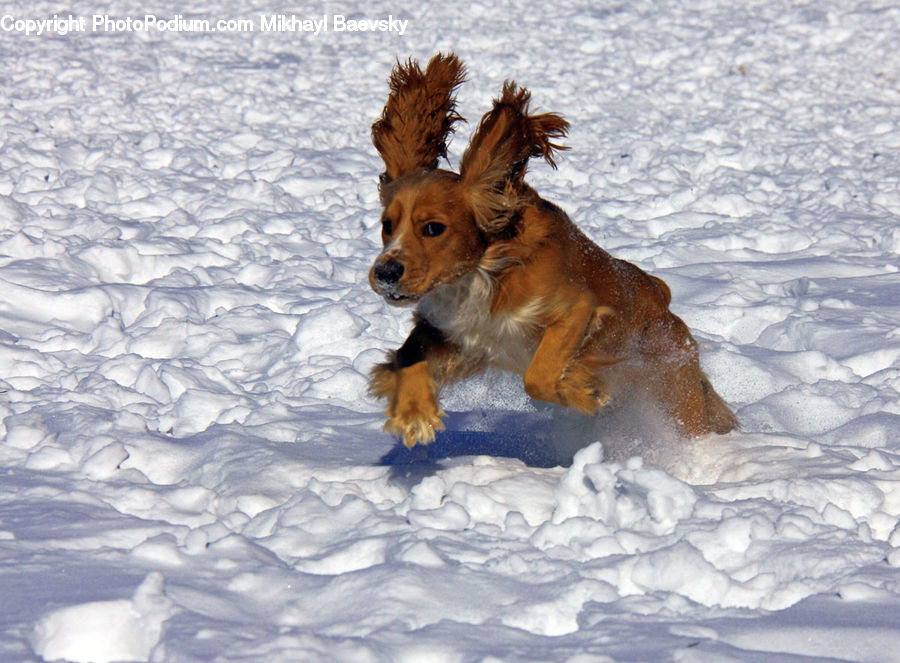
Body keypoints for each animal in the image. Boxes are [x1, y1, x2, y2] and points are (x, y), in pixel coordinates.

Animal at [368, 54, 740, 448]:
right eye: (387, 225)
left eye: (433, 228)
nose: (385, 273)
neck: (483, 271)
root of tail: (661, 294)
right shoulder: (452, 332)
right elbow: (408, 354)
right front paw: (414, 412)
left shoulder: (576, 309)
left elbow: (539, 376)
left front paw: (581, 391)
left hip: (673, 387)